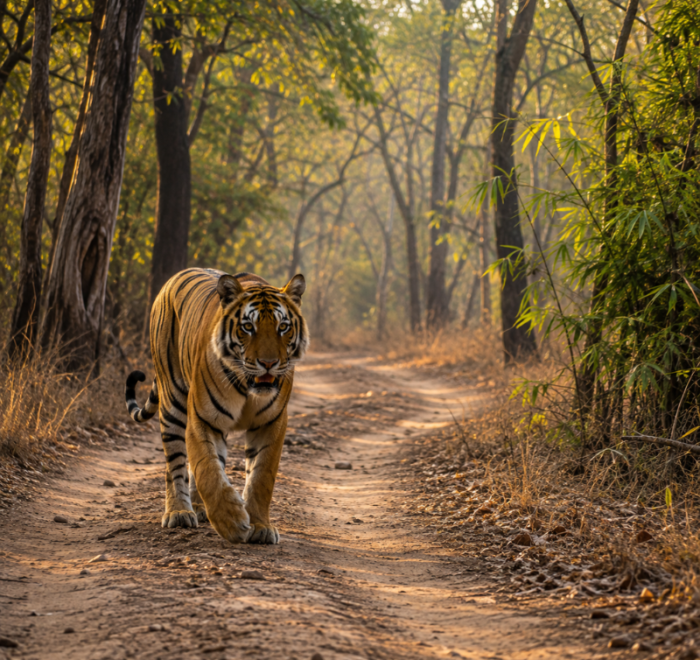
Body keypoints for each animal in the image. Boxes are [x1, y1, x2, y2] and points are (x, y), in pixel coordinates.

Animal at [124, 268, 308, 544]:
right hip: (172, 400)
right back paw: (179, 512)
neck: (248, 387)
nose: (268, 363)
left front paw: (261, 526)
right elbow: (207, 470)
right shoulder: (203, 418)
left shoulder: (271, 423)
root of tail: (173, 277)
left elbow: (261, 477)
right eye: (248, 327)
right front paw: (231, 521)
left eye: (283, 327)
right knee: (175, 463)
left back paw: (199, 508)